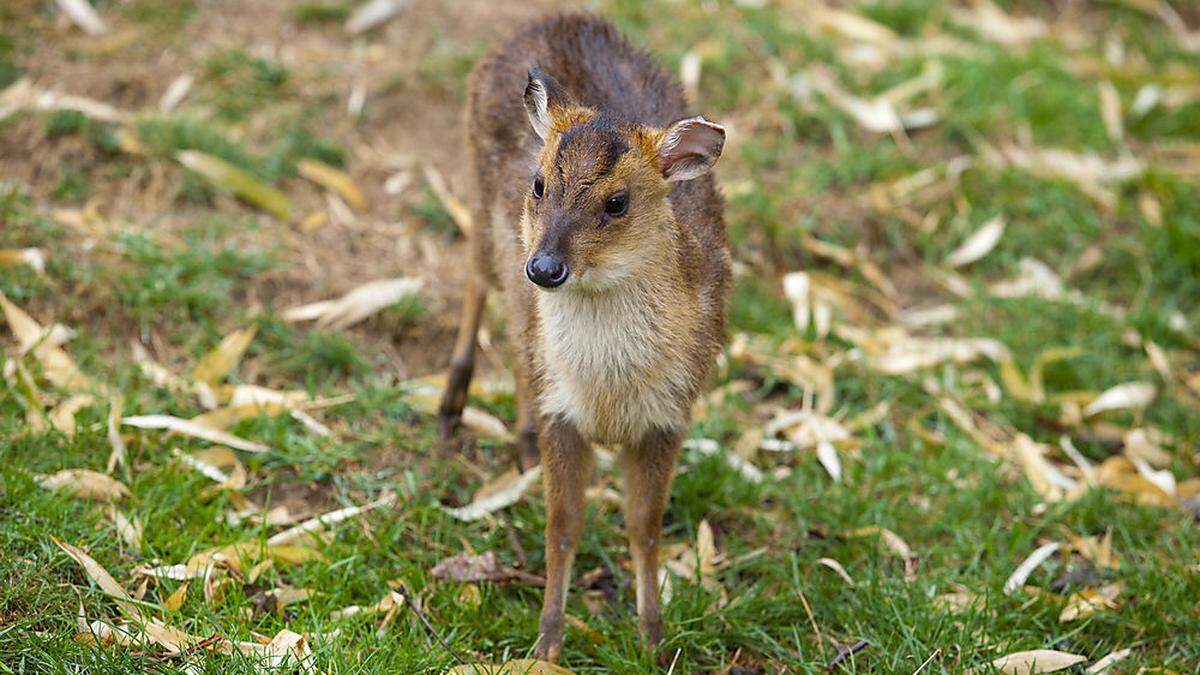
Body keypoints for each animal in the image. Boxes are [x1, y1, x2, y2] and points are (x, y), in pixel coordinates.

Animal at [436, 13, 724, 658]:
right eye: (540, 184)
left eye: (617, 202)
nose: (544, 268)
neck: (608, 393)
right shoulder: (562, 414)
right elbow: (562, 526)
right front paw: (546, 644)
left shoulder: (669, 415)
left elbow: (644, 529)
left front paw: (653, 640)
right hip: (483, 206)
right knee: (476, 275)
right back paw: (450, 407)